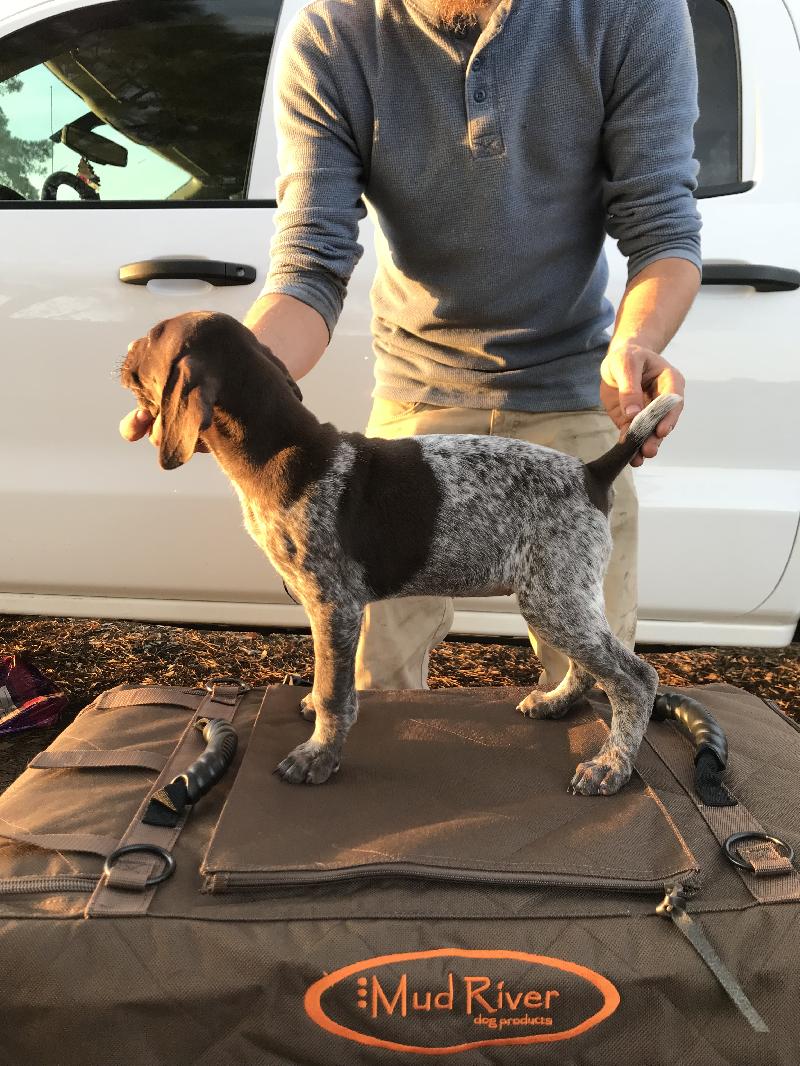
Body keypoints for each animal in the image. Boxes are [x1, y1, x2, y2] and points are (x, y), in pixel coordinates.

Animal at [118, 309, 674, 793]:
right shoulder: (329, 610)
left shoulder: (335, 604)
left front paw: (318, 754)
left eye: (152, 337)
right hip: (565, 595)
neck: (282, 451)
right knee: (589, 666)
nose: (122, 353)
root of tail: (591, 472)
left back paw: (611, 764)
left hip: (553, 597)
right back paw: (557, 703)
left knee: (635, 678)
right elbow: (328, 675)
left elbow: (334, 692)